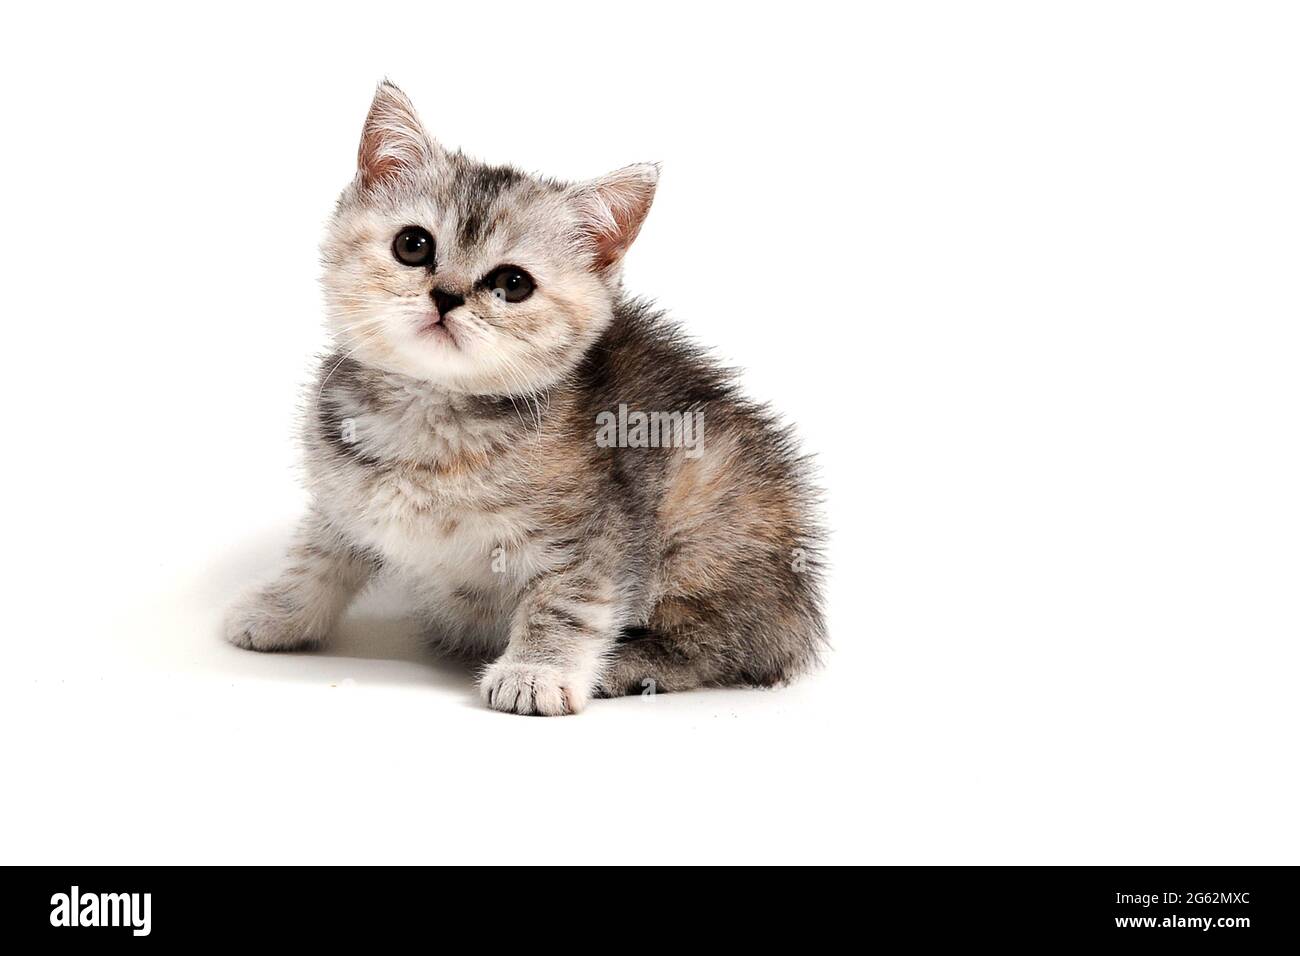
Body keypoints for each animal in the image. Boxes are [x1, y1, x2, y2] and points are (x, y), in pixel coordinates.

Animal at [224, 82, 826, 712]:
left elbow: (566, 600)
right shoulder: (343, 498)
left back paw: (626, 665)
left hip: (706, 503)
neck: (430, 420)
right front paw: (279, 610)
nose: (446, 296)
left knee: (718, 645)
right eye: (413, 245)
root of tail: (800, 611)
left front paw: (536, 672)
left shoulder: (598, 533)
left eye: (513, 284)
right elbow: (318, 555)